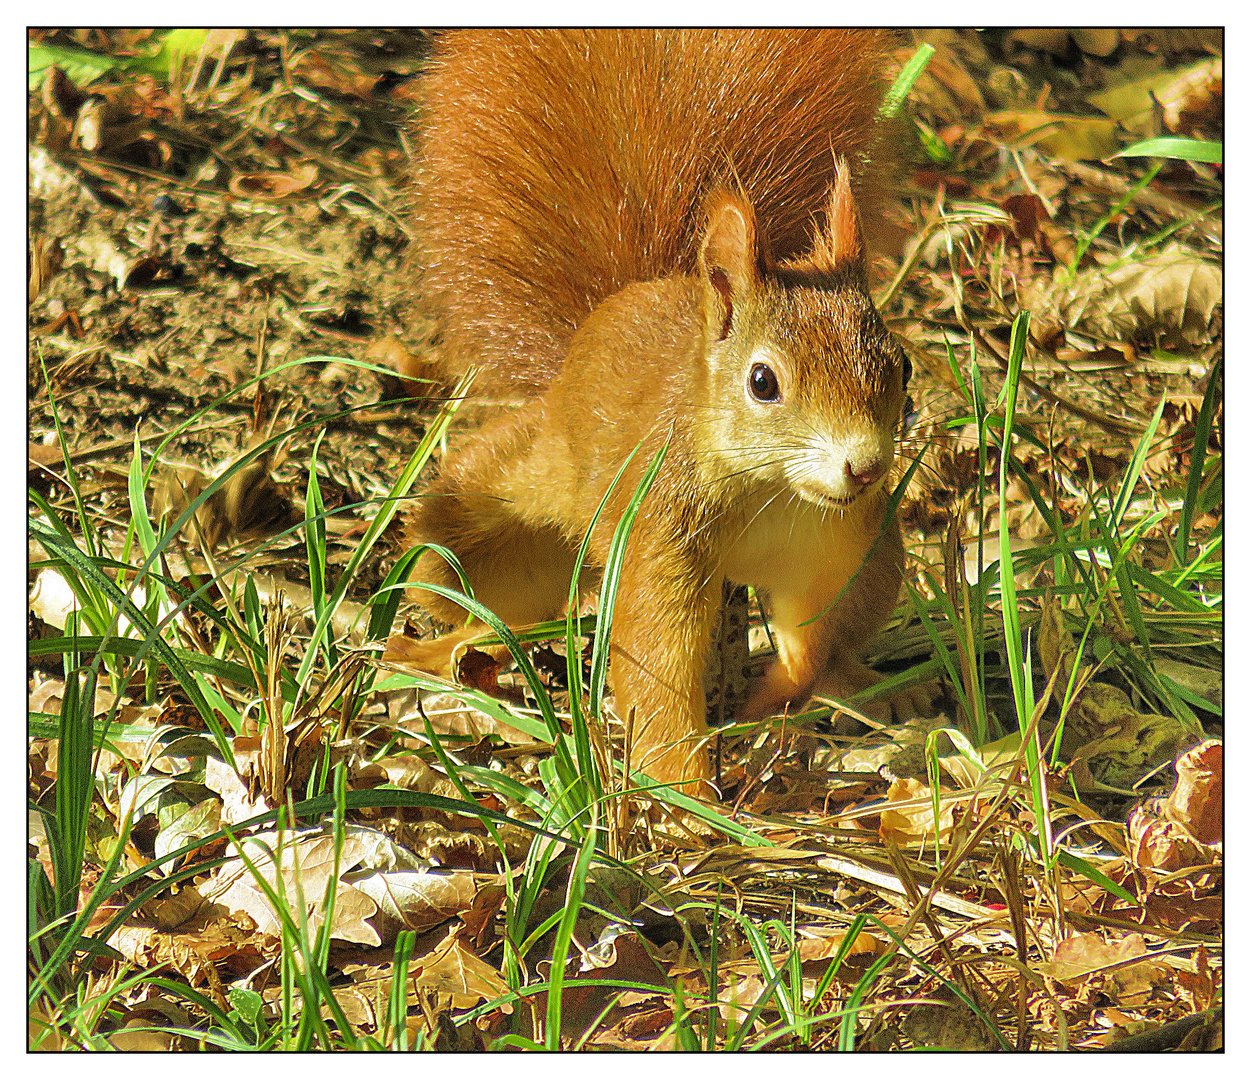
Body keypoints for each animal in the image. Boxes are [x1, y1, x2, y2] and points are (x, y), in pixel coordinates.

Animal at [400, 29, 930, 795]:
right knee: (482, 602)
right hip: (477, 523)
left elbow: (810, 635)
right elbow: (656, 659)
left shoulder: (837, 546)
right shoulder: (661, 535)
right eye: (762, 382)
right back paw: (436, 652)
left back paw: (872, 688)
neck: (768, 492)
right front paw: (683, 788)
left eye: (902, 365)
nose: (863, 467)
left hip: (882, 555)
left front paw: (772, 698)